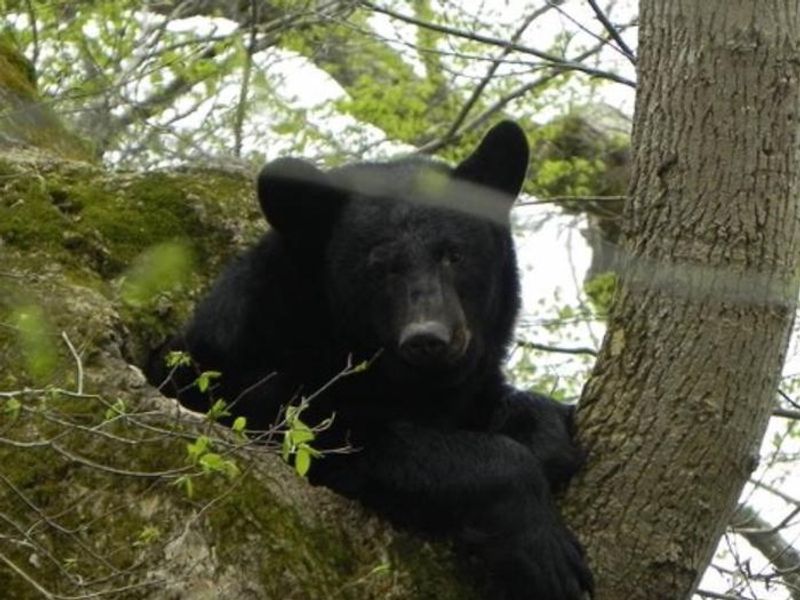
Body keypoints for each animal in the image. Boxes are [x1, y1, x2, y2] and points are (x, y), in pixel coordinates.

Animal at [147, 121, 593, 599]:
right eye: (379, 268)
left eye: (454, 254)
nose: (428, 339)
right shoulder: (260, 374)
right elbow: (352, 438)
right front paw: (548, 553)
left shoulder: (467, 383)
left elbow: (509, 404)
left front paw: (547, 437)